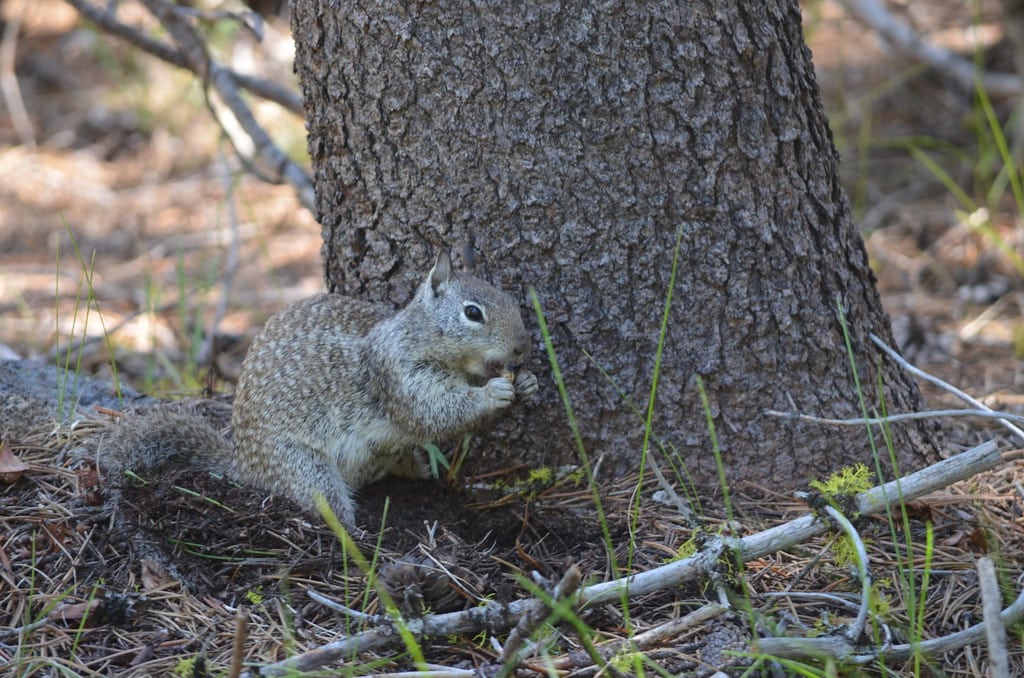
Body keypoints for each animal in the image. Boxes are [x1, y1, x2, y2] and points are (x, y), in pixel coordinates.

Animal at [91, 251, 538, 524]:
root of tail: (244, 465)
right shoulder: (399, 375)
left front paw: (528, 383)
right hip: (303, 467)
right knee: (328, 503)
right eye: (473, 313)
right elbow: (435, 413)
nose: (522, 346)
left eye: (510, 299)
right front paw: (492, 394)